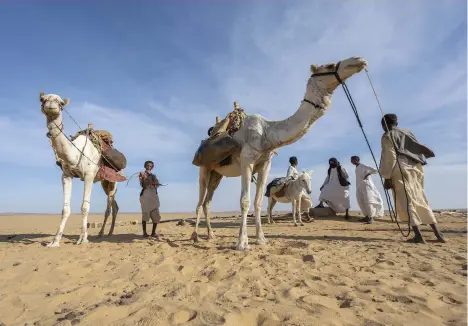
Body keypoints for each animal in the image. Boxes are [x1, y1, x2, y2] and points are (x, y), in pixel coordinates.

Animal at [40, 92, 119, 247]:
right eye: (43, 99)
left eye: (61, 103)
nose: (51, 105)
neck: (74, 153)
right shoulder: (66, 175)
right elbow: (65, 209)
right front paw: (55, 241)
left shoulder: (89, 175)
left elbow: (84, 207)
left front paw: (83, 239)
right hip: (104, 182)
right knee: (114, 205)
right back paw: (108, 232)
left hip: (113, 180)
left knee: (109, 205)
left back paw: (102, 233)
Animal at [192, 56, 368, 250]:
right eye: (329, 65)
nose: (358, 60)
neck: (267, 132)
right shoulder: (247, 160)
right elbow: (245, 201)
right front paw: (242, 243)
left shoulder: (265, 164)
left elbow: (258, 202)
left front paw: (261, 239)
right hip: (205, 169)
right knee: (199, 202)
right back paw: (195, 236)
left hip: (218, 174)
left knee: (208, 202)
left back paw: (211, 235)